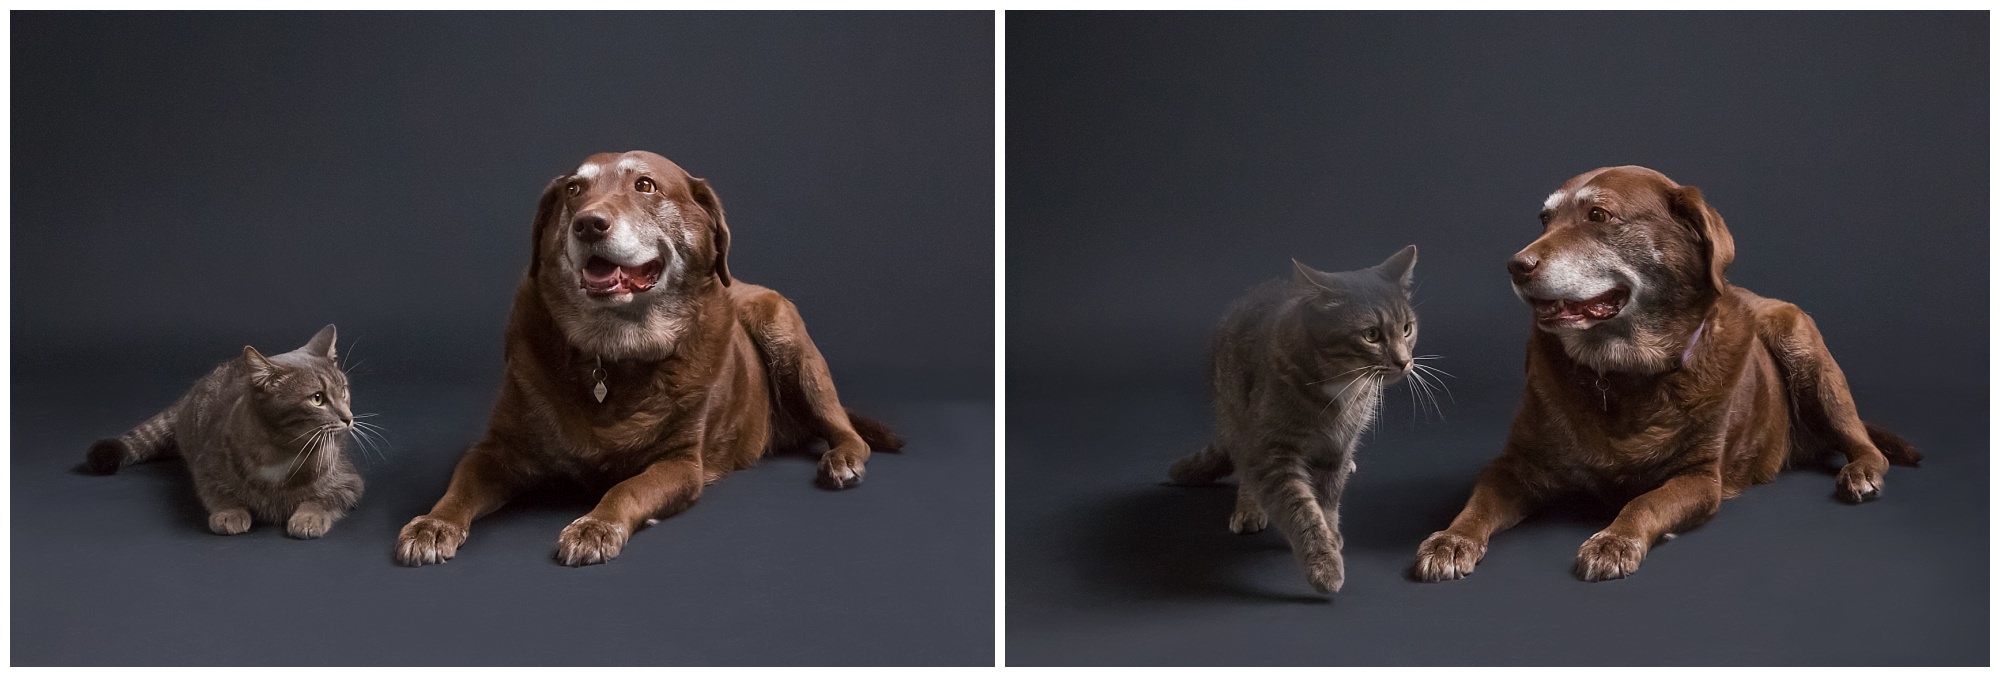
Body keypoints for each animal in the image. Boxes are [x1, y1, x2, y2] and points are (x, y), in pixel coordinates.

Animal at [87, 324, 372, 540]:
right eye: (317, 398)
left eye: (343, 390)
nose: (348, 418)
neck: (281, 450)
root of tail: (191, 393)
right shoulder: (206, 469)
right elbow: (217, 493)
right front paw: (230, 512)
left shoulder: (349, 482)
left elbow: (323, 499)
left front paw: (309, 517)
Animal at [394, 149, 896, 564]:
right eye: (574, 190)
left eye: (646, 185)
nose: (588, 223)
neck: (611, 349)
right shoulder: (498, 449)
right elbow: (460, 487)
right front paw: (433, 524)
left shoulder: (680, 464)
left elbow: (627, 488)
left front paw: (596, 525)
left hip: (785, 335)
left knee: (846, 430)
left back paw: (842, 458)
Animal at [1168, 246, 1432, 596]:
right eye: (1371, 335)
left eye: (1406, 328)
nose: (1404, 361)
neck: (1342, 387)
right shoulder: (1272, 450)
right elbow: (1301, 508)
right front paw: (1324, 563)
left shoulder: (1339, 445)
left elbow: (1328, 500)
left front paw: (1331, 534)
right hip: (1235, 415)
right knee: (1246, 466)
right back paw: (1249, 507)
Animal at [1408, 165, 1920, 580]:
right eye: (1544, 220)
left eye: (1598, 216)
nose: (1517, 265)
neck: (1621, 371)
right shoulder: (1517, 465)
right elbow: (1478, 504)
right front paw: (1451, 540)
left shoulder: (1700, 479)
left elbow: (1645, 501)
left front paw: (1615, 539)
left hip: (1803, 347)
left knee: (1865, 443)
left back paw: (1861, 472)